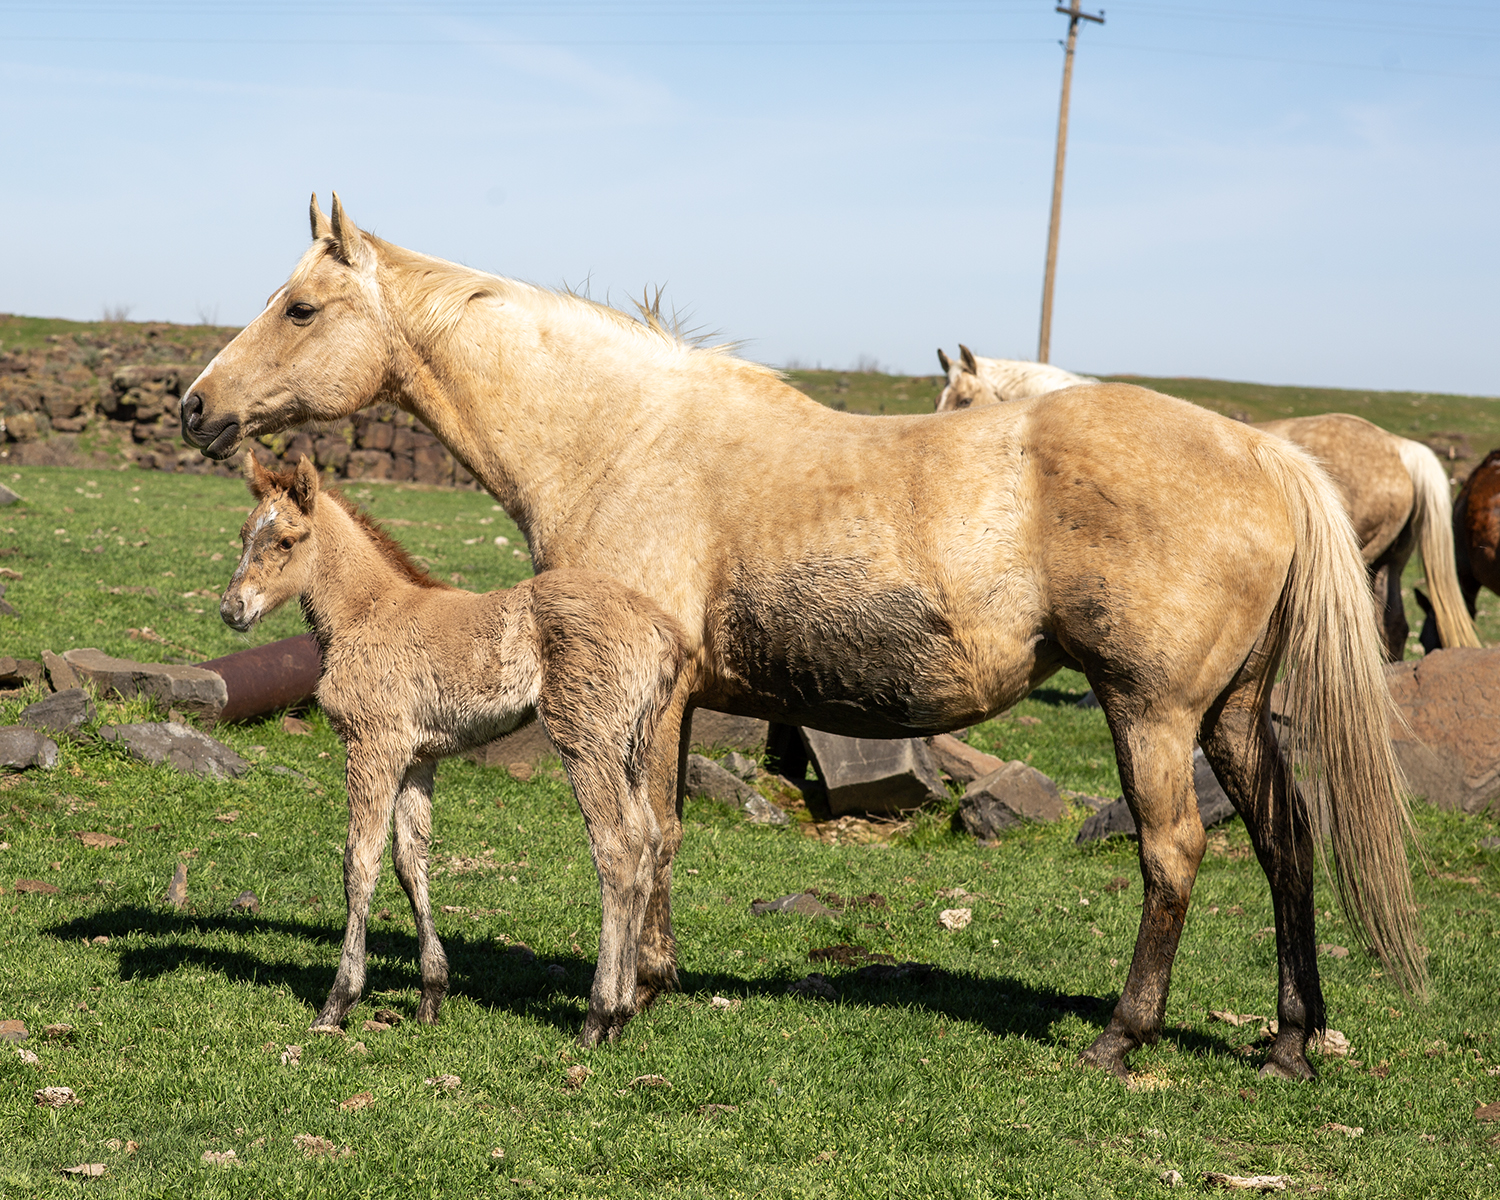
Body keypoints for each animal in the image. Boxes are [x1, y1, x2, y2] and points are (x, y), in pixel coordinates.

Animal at [219, 454, 687, 1044]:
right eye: (243, 535)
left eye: (285, 540)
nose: (232, 609)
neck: (365, 612)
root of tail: (663, 634)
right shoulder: (418, 758)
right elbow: (409, 859)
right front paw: (432, 995)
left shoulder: (373, 743)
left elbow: (359, 861)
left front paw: (337, 1003)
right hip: (633, 748)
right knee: (649, 841)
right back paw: (622, 1012)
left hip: (586, 739)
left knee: (618, 849)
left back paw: (598, 1015)